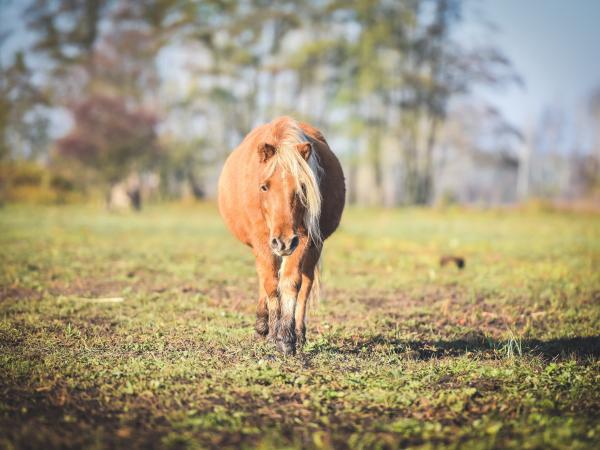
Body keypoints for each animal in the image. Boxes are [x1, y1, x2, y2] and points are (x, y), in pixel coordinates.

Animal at [218, 116, 344, 356]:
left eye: (302, 186)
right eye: (264, 187)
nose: (284, 241)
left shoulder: (303, 239)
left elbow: (290, 283)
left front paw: (285, 338)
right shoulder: (262, 240)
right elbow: (269, 282)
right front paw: (271, 334)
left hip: (311, 248)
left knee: (305, 284)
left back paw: (299, 333)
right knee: (265, 277)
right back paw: (262, 324)